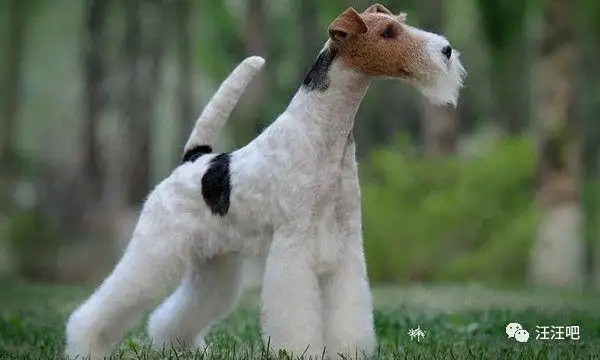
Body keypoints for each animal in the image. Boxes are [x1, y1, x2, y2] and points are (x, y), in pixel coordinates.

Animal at [67, 4, 468, 358]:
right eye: (387, 33)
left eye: (399, 23)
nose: (447, 50)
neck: (324, 134)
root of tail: (195, 158)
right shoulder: (294, 243)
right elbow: (295, 315)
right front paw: (302, 352)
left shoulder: (347, 243)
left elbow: (349, 309)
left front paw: (348, 351)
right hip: (155, 248)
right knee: (105, 304)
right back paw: (86, 346)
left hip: (215, 264)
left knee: (178, 313)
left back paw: (178, 346)